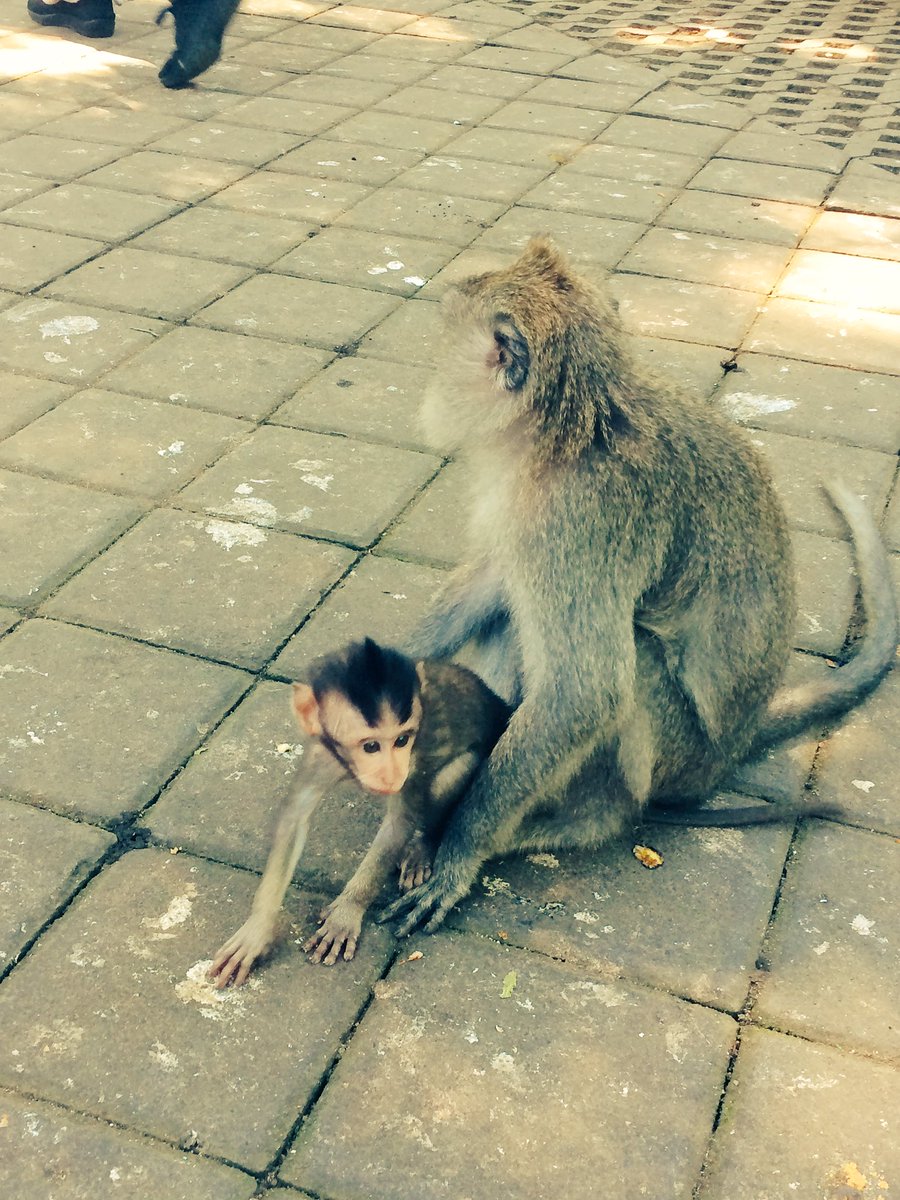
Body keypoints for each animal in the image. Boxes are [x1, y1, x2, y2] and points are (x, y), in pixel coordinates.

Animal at [207, 638, 511, 984]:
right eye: (371, 747)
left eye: (402, 740)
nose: (391, 773)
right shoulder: (324, 751)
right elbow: (296, 815)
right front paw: (257, 930)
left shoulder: (414, 757)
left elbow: (399, 821)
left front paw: (346, 911)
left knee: (456, 768)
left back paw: (424, 846)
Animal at [381, 236, 900, 936]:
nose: (435, 375)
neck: (574, 425)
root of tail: (734, 745)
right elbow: (496, 579)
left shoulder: (576, 519)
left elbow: (586, 693)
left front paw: (458, 851)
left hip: (678, 755)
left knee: (631, 665)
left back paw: (580, 822)